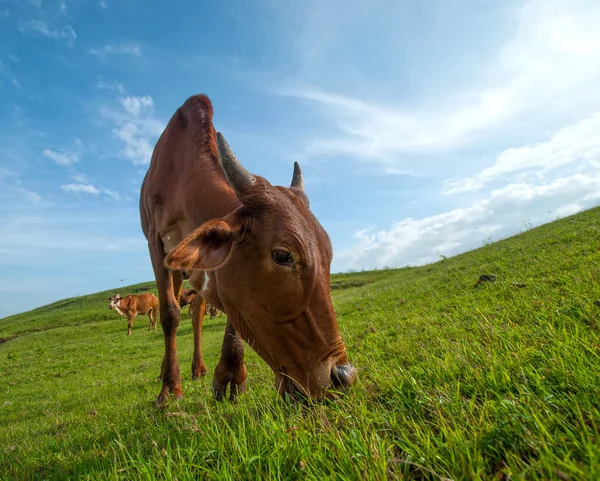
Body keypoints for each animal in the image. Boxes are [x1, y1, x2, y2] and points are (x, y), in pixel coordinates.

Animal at [139, 94, 356, 402]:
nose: (343, 375)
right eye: (282, 255)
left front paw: (230, 374)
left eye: (329, 254)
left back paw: (199, 368)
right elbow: (170, 314)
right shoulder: (155, 244)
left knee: (197, 314)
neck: (179, 172)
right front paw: (170, 388)